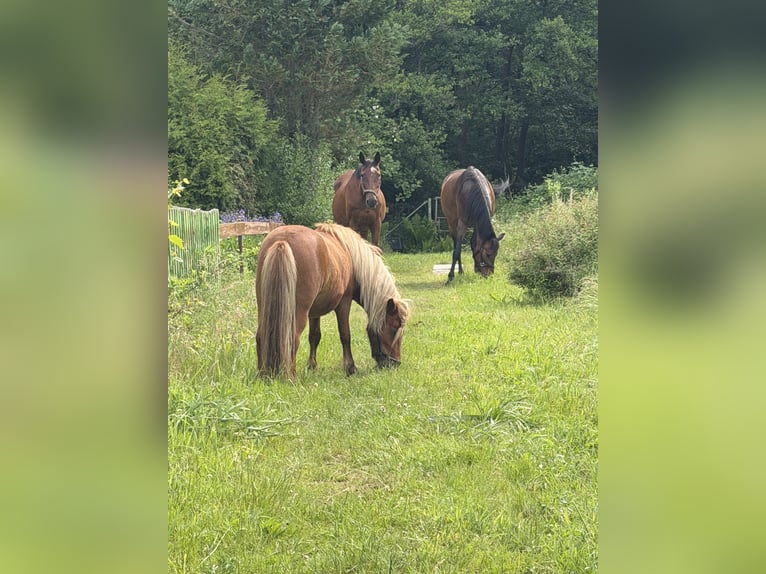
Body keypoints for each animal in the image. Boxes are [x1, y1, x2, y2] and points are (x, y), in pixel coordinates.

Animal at [255, 222, 410, 380]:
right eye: (395, 326)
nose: (395, 363)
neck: (353, 258)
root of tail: (282, 241)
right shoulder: (344, 303)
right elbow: (345, 335)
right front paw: (350, 368)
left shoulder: (314, 312)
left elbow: (314, 336)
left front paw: (312, 366)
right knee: (292, 338)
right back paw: (290, 377)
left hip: (264, 307)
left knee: (261, 336)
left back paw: (263, 375)